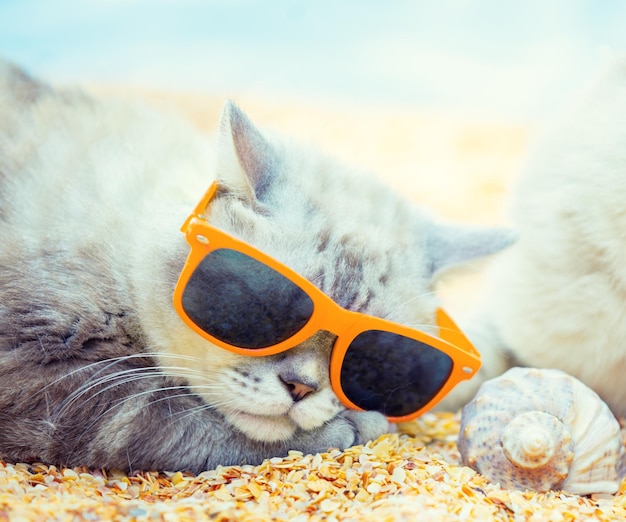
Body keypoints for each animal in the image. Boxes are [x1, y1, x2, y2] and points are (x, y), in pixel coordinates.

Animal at [0, 61, 512, 472]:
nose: (301, 387)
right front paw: (354, 427)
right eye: (261, 309)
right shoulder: (42, 372)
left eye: (376, 361)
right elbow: (178, 423)